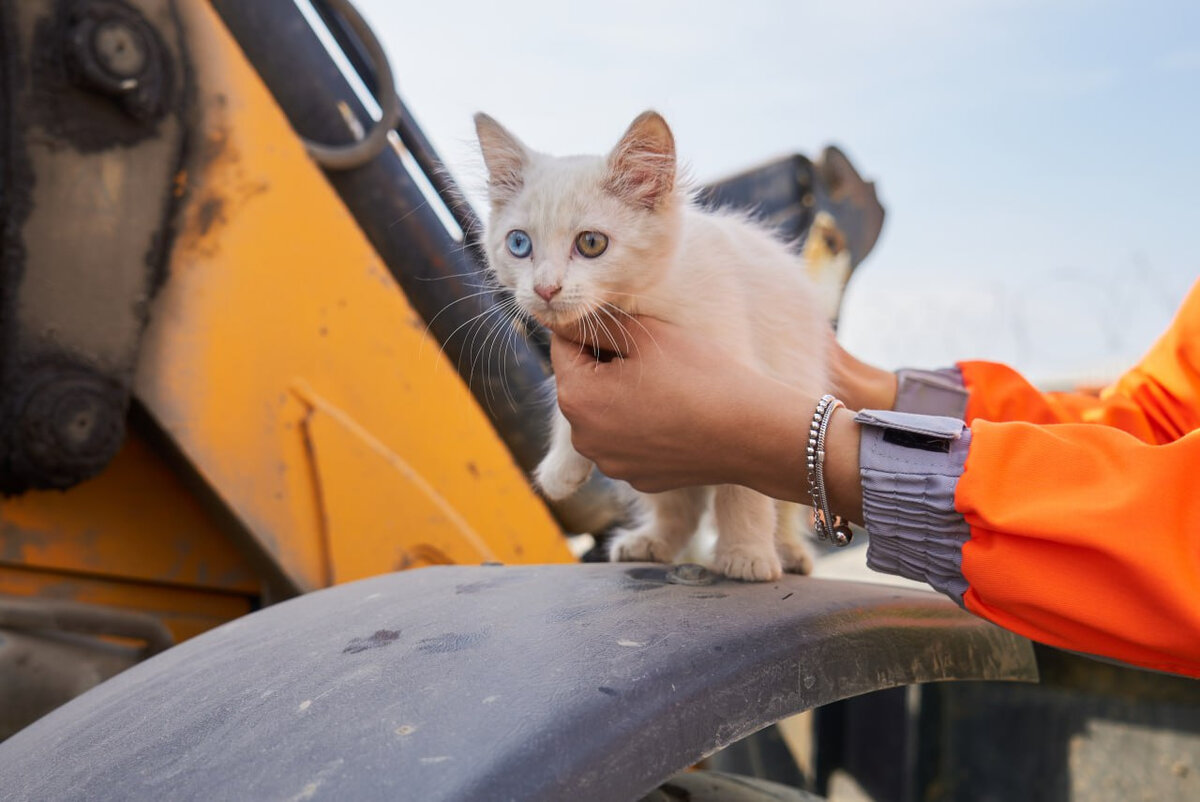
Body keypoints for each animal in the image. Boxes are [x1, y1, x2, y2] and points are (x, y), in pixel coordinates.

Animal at [472, 109, 830, 578]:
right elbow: (565, 410)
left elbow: (743, 488)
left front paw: (746, 553)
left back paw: (787, 550)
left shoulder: (744, 373)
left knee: (782, 506)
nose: (545, 289)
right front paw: (560, 469)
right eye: (519, 244)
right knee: (681, 508)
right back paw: (652, 542)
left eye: (591, 243)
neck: (637, 304)